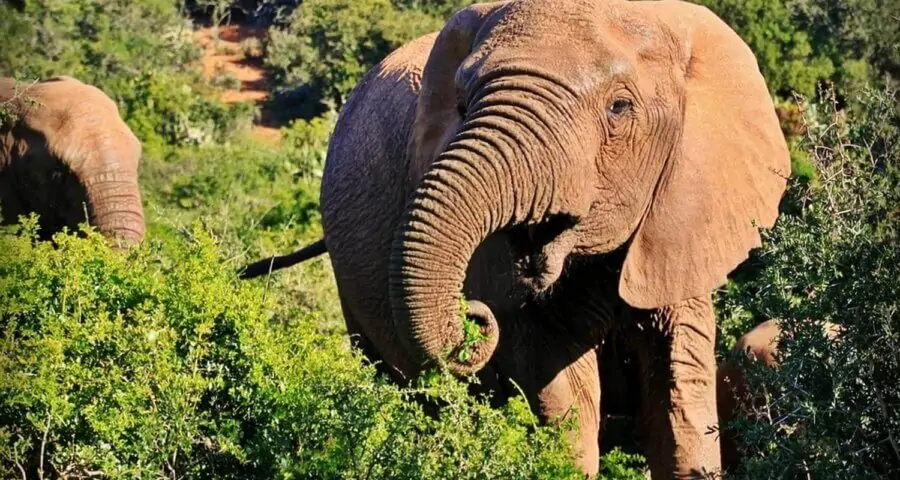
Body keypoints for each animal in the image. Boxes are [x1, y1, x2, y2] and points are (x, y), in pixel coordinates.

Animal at [240, 0, 790, 476]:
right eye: (462, 105)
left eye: (620, 107)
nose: (473, 316)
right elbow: (560, 391)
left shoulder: (680, 220)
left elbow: (680, 392)